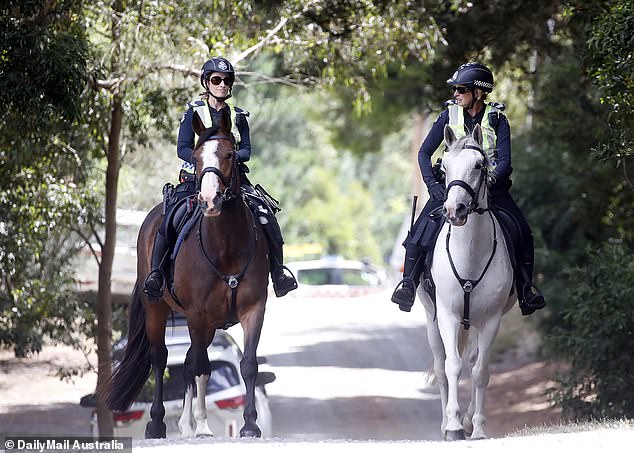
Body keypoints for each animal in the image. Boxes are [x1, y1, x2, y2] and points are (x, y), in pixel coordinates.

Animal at [103, 107, 270, 438]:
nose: (210, 200)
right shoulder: (196, 313)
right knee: (161, 358)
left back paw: (184, 423)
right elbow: (203, 368)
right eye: (195, 156)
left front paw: (249, 425)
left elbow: (247, 364)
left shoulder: (253, 309)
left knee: (190, 359)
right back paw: (157, 423)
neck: (226, 245)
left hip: (208, 325)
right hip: (157, 308)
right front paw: (204, 424)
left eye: (230, 154)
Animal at [418, 122, 516, 438]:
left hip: (474, 323)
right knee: (441, 367)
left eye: (478, 165)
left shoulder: (491, 319)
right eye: (445, 167)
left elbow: (480, 371)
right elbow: (452, 367)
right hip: (432, 319)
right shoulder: (448, 315)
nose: (454, 211)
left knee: (473, 361)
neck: (470, 256)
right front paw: (453, 426)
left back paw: (470, 417)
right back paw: (445, 423)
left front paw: (478, 427)